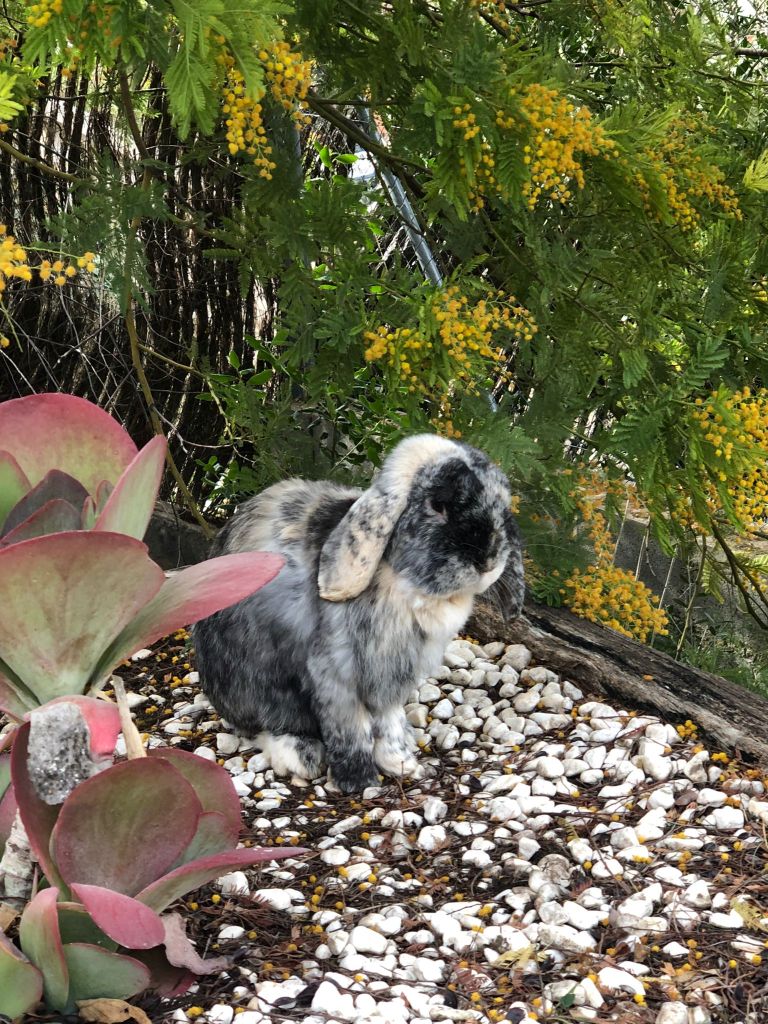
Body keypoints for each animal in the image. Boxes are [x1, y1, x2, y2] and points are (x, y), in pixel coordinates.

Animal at [193, 434, 524, 793]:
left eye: (501, 505)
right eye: (438, 505)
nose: (488, 561)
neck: (403, 582)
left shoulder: (390, 681)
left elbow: (389, 723)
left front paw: (402, 764)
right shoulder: (338, 675)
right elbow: (351, 729)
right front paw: (359, 781)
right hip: (260, 680)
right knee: (270, 722)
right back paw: (301, 758)